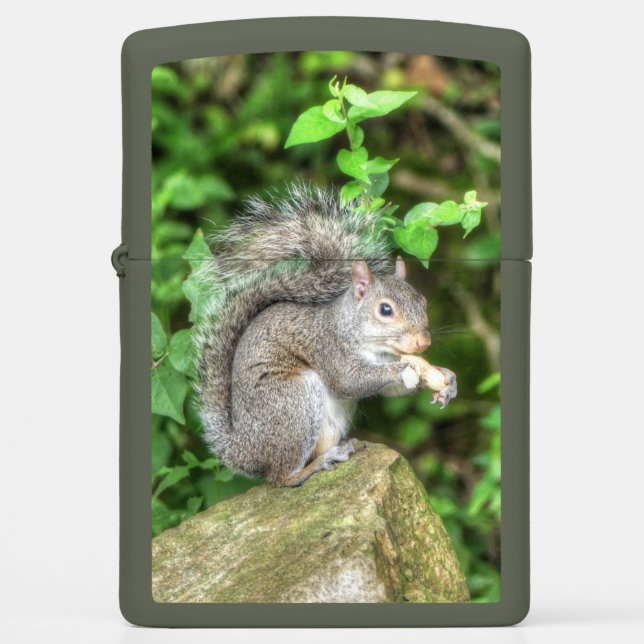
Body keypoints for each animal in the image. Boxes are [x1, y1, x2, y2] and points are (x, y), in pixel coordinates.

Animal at [195, 185, 457, 487]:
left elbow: (392, 391)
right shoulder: (328, 348)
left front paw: (447, 379)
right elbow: (348, 381)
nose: (424, 343)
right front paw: (402, 369)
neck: (374, 347)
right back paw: (315, 466)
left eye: (423, 301)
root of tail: (245, 451)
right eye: (385, 309)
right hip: (293, 402)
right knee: (280, 478)